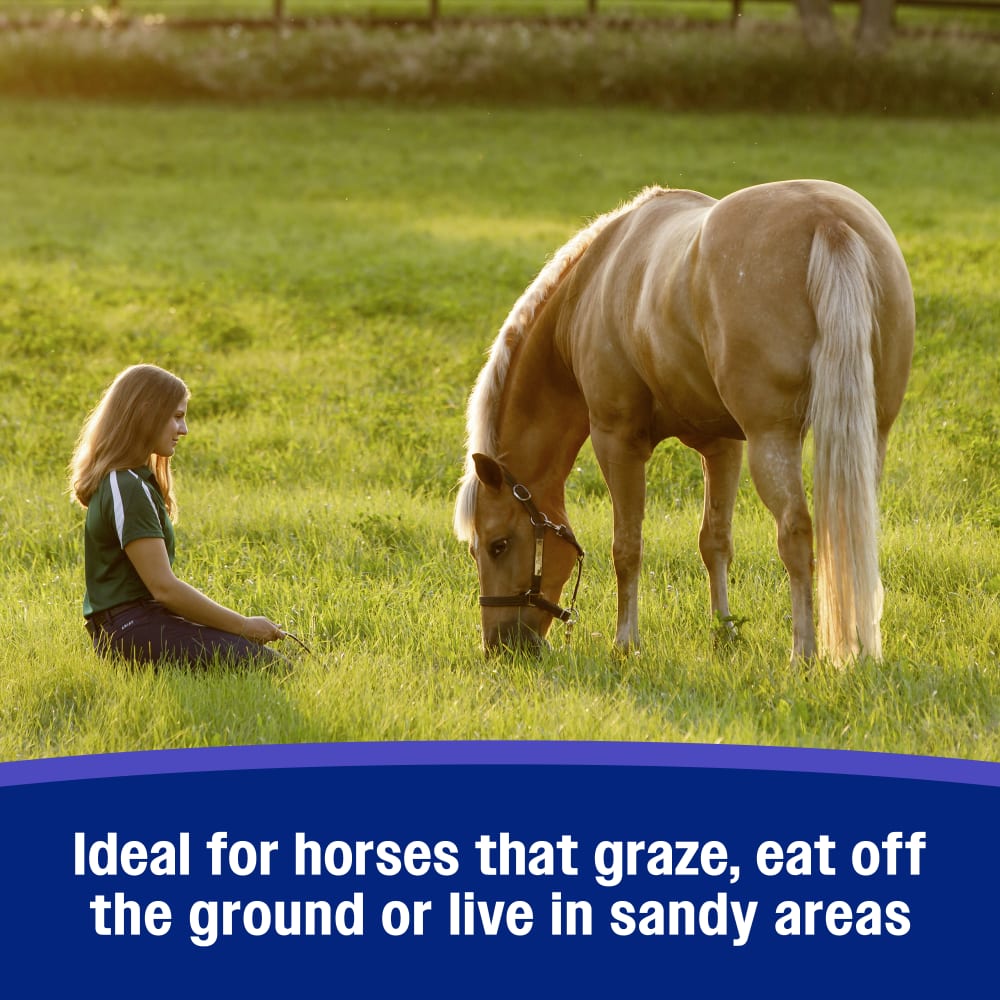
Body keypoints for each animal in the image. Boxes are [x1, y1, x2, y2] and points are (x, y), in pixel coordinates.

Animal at [453, 180, 914, 664]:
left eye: (497, 545)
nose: (501, 646)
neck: (591, 286)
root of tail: (826, 221)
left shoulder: (617, 440)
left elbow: (627, 547)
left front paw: (626, 642)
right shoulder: (723, 446)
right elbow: (715, 541)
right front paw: (724, 632)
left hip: (773, 439)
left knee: (796, 533)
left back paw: (802, 654)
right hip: (868, 437)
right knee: (852, 535)